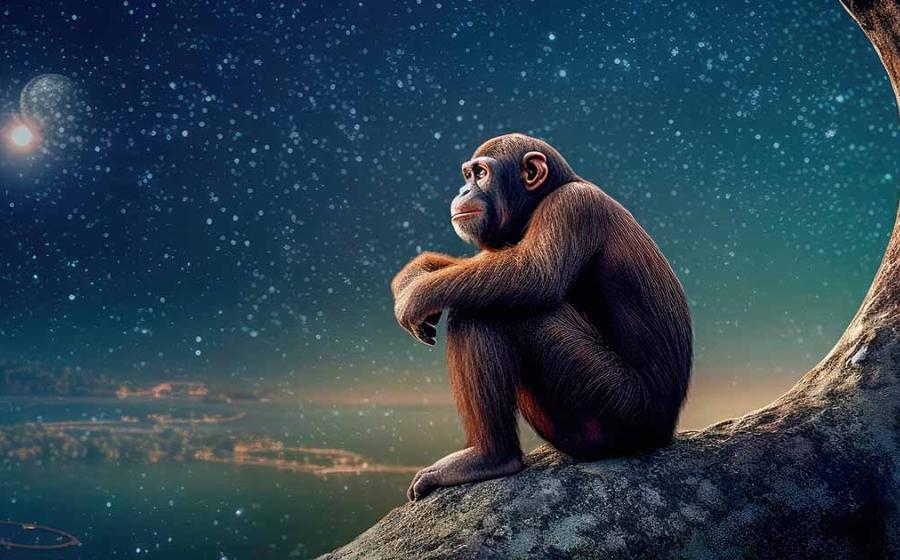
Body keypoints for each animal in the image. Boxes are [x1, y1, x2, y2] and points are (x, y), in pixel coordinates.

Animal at [392, 133, 692, 501]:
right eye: (467, 174)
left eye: (480, 174)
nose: (463, 190)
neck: (545, 195)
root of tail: (663, 433)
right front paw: (414, 273)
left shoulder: (571, 208)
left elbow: (534, 273)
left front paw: (416, 295)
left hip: (615, 405)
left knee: (485, 311)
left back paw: (490, 457)